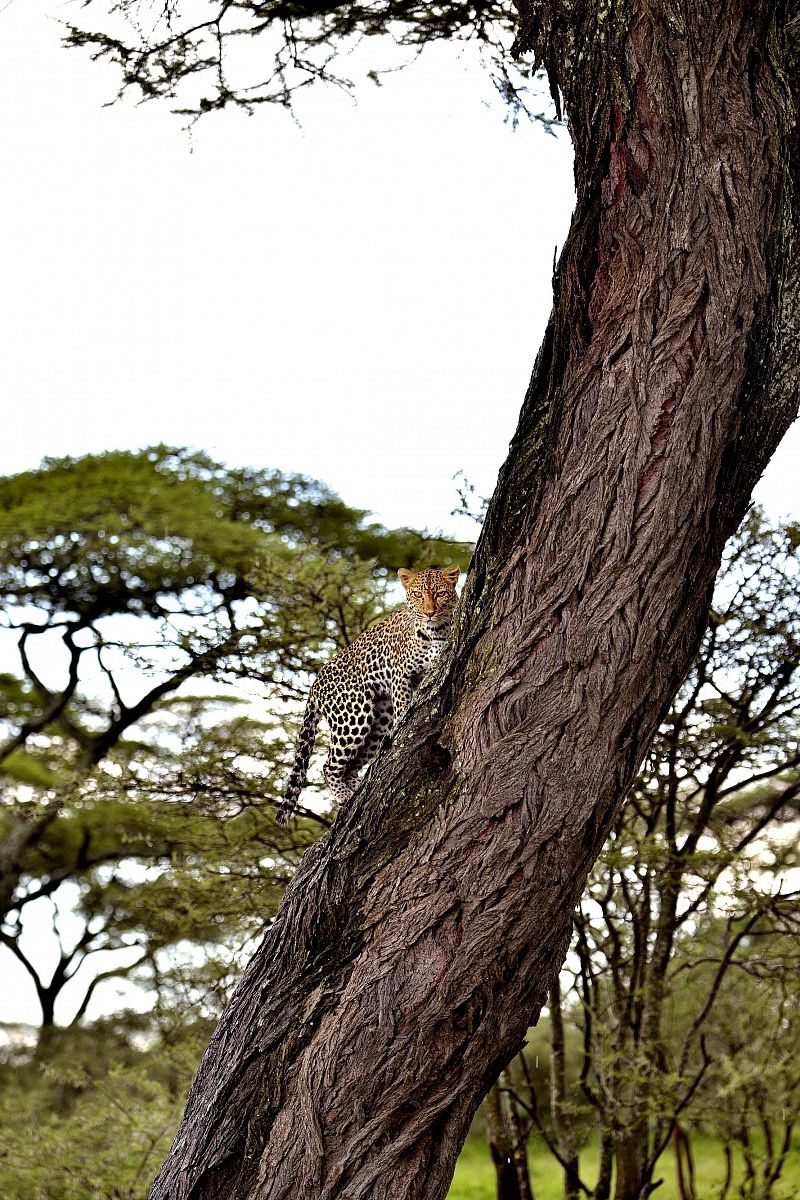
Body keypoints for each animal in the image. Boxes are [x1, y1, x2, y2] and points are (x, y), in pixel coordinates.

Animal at [275, 565, 460, 823]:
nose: (430, 613)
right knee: (329, 765)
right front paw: (405, 724)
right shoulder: (401, 675)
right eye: (417, 595)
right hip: (352, 715)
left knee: (351, 766)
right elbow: (404, 706)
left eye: (441, 594)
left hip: (379, 719)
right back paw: (344, 796)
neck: (435, 632)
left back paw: (354, 791)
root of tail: (314, 685)